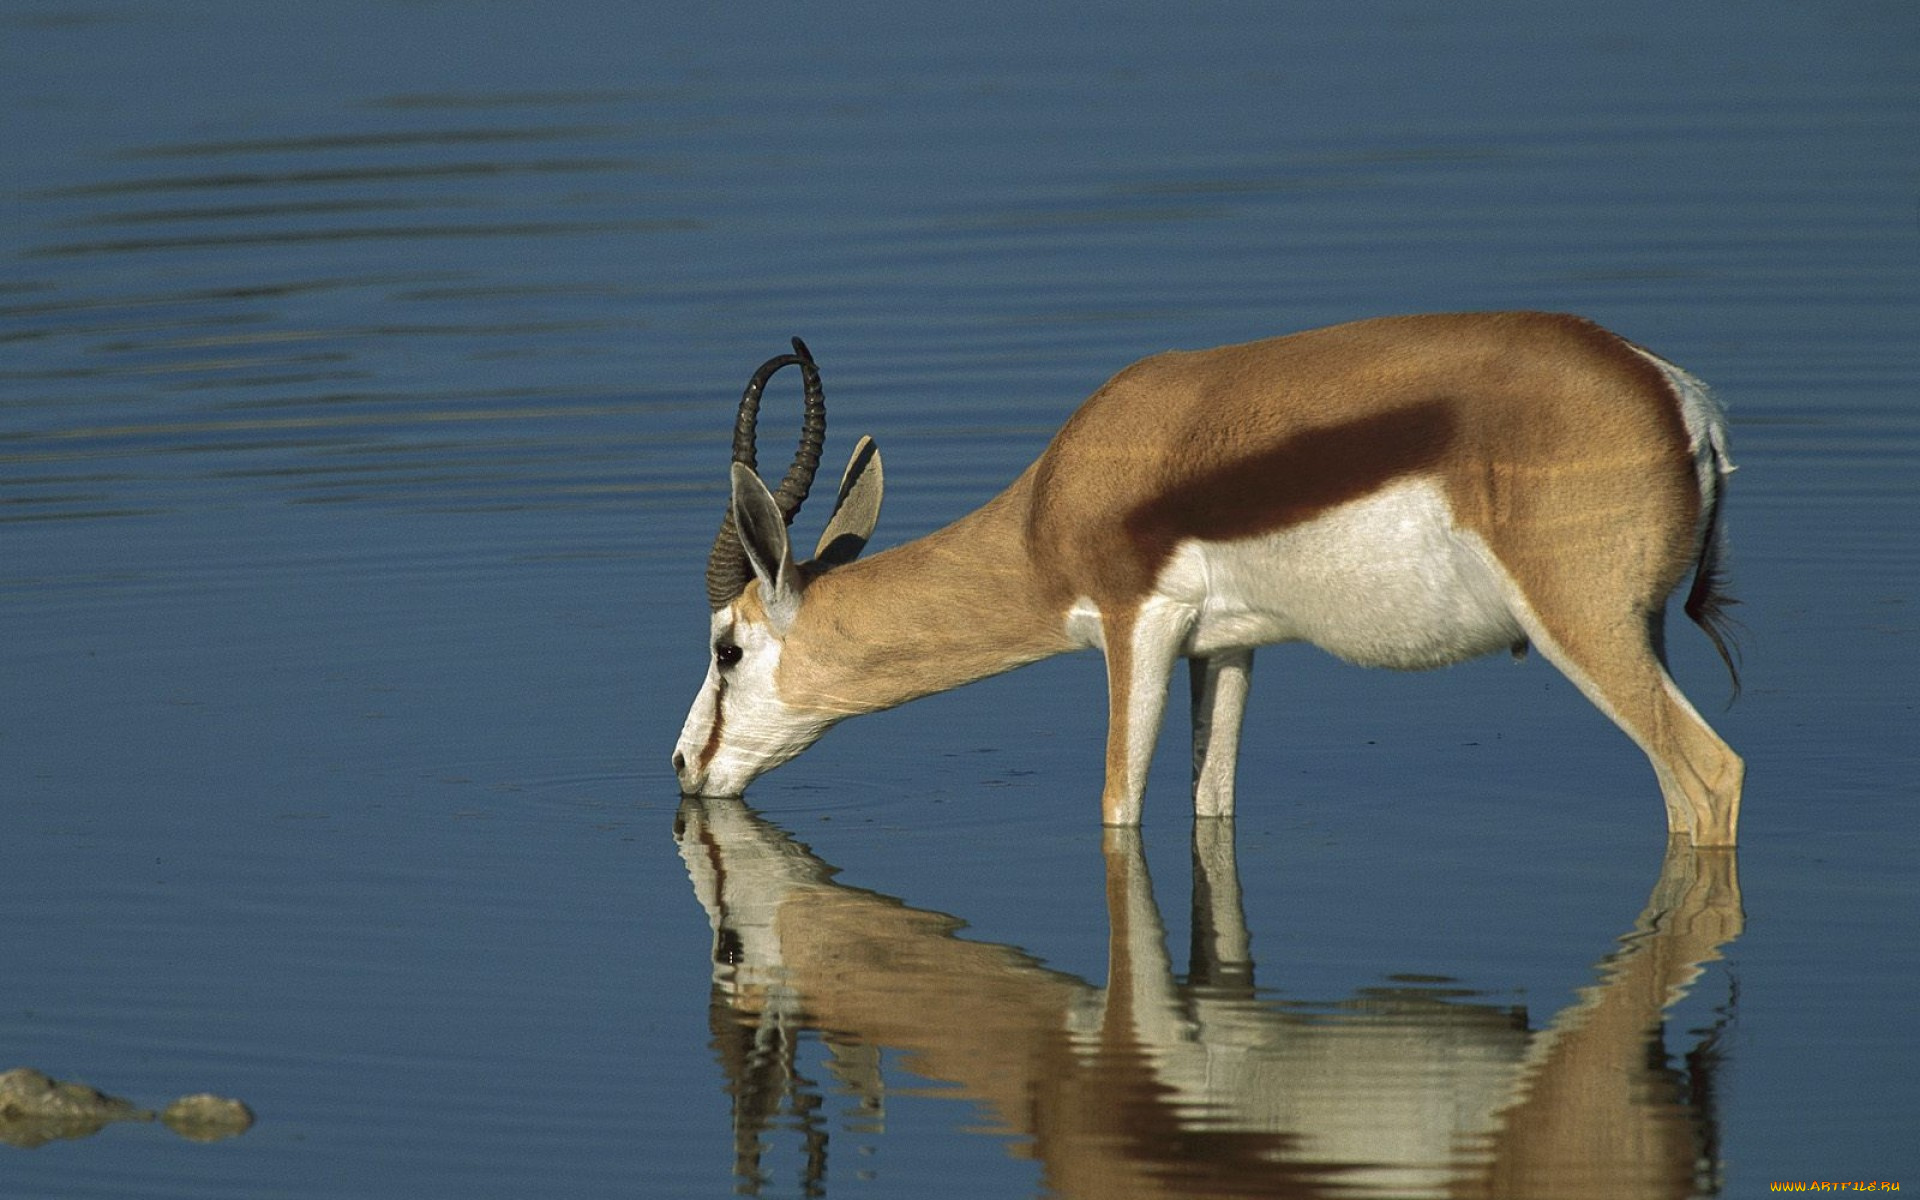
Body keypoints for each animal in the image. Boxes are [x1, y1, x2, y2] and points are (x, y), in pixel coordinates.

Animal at [672, 312, 1743, 848]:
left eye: (728, 648)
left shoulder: (1135, 628)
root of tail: (1681, 401)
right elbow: (1211, 806)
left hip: (1587, 630)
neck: (1053, 505)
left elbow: (1118, 806)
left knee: (1710, 780)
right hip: (1632, 633)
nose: (684, 768)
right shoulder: (1225, 650)